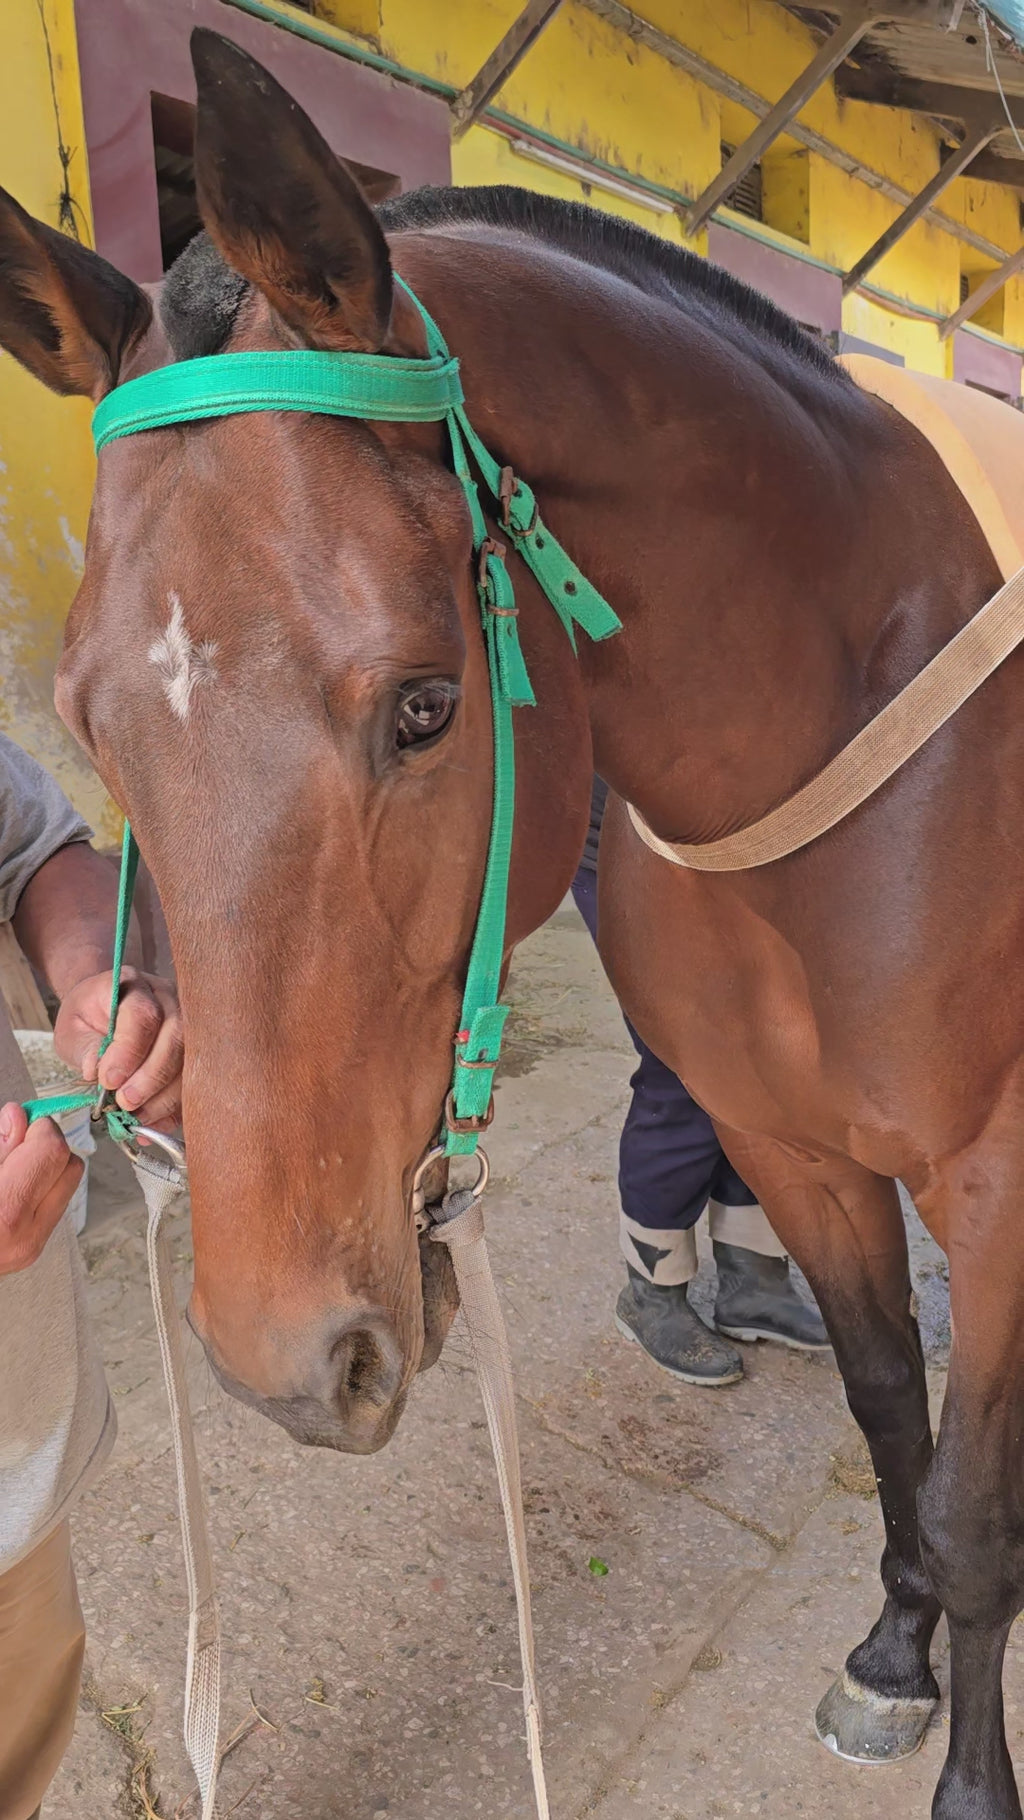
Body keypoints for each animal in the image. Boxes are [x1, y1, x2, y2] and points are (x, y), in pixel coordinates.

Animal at [1, 28, 1021, 1816]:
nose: (286, 1363)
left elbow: (972, 1503)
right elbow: (893, 1412)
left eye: (425, 706)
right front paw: (893, 1654)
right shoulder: (798, 1151)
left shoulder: (999, 1176)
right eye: (88, 722)